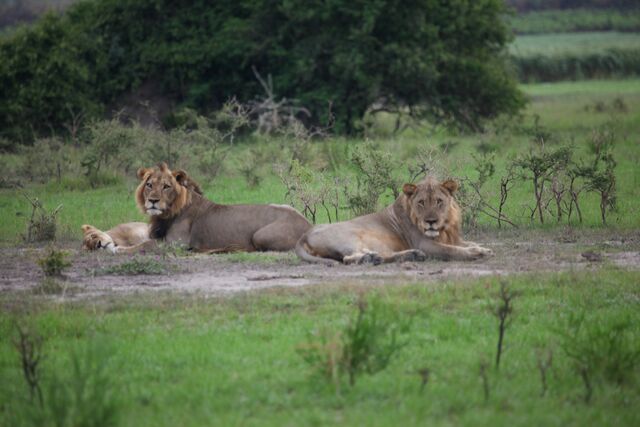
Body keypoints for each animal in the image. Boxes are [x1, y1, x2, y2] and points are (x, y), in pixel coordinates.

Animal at [82, 163, 311, 254]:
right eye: (149, 185)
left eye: (166, 186)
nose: (153, 201)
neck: (166, 215)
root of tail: (308, 225)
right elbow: (142, 241)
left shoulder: (176, 244)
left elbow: (144, 245)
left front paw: (117, 249)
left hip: (260, 236)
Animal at [295, 177, 493, 264]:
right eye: (421, 202)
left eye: (439, 201)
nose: (431, 221)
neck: (444, 228)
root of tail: (303, 236)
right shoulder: (424, 243)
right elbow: (451, 251)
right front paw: (476, 253)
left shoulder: (452, 238)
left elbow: (466, 244)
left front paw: (484, 249)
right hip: (350, 237)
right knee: (348, 258)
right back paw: (371, 258)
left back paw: (406, 255)